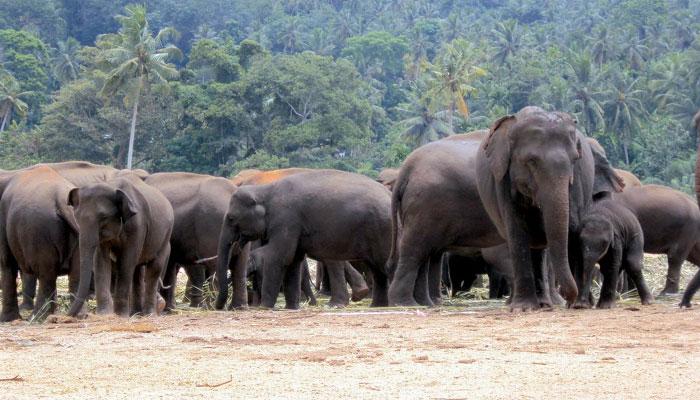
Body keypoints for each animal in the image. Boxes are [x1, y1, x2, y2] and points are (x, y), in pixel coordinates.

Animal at [0, 166, 79, 322]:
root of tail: (61, 200)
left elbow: (6, 264)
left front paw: (7, 320)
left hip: (39, 231)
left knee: (46, 273)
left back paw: (37, 318)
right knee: (76, 273)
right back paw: (75, 315)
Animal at [66, 173, 174, 318]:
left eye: (103, 217)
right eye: (76, 217)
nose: (67, 315)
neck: (113, 186)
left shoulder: (137, 225)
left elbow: (127, 260)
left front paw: (121, 315)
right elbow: (100, 260)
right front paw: (104, 314)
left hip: (165, 237)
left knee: (154, 268)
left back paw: (149, 314)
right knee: (137, 272)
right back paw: (136, 313)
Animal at [217, 169, 394, 310]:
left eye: (231, 218)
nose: (218, 307)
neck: (265, 190)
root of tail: (389, 195)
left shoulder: (286, 220)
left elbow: (279, 257)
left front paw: (264, 307)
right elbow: (293, 261)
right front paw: (291, 308)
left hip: (383, 229)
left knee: (385, 263)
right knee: (376, 268)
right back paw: (377, 305)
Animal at [476, 106, 624, 310]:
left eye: (574, 159)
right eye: (531, 161)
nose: (569, 297)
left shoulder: (576, 182)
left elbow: (572, 230)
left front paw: (579, 304)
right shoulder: (503, 180)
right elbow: (517, 232)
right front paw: (522, 308)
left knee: (540, 248)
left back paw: (546, 303)